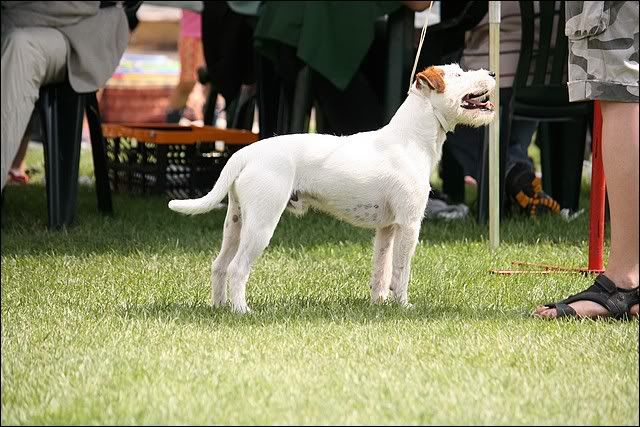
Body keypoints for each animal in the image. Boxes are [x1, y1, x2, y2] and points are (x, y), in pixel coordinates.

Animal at [169, 64, 496, 313]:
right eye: (458, 74)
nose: (492, 73)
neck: (411, 138)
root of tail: (245, 153)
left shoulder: (387, 228)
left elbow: (381, 270)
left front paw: (379, 304)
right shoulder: (409, 224)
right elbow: (401, 271)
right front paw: (403, 306)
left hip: (236, 223)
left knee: (219, 265)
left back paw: (219, 306)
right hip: (261, 225)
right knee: (238, 268)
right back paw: (241, 310)